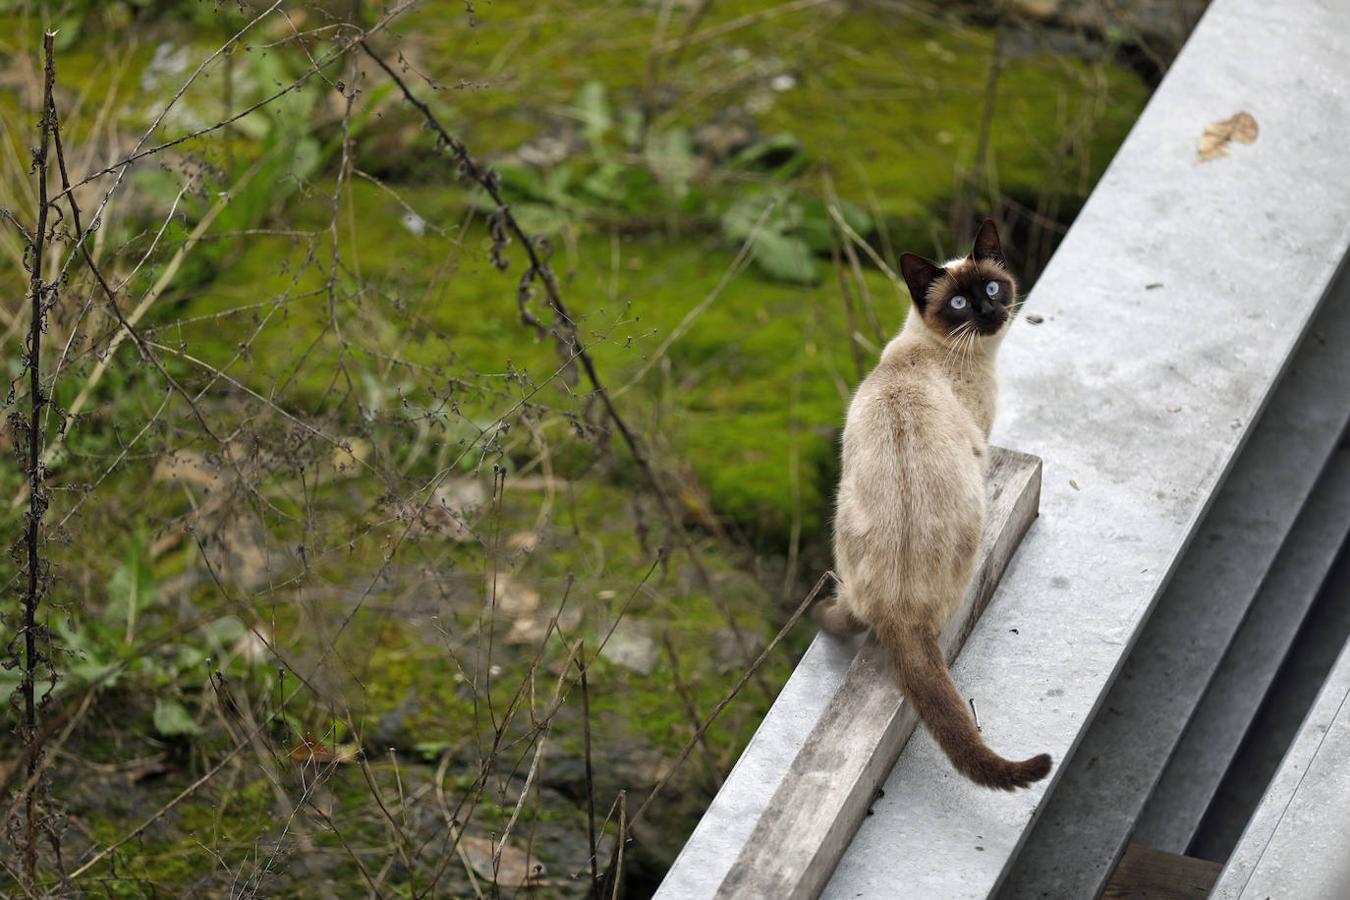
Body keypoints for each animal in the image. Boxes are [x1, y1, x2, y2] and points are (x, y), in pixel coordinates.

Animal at [810, 221, 1053, 793]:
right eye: (959, 303)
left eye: (991, 288)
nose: (988, 311)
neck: (938, 353)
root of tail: (897, 610)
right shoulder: (980, 440)